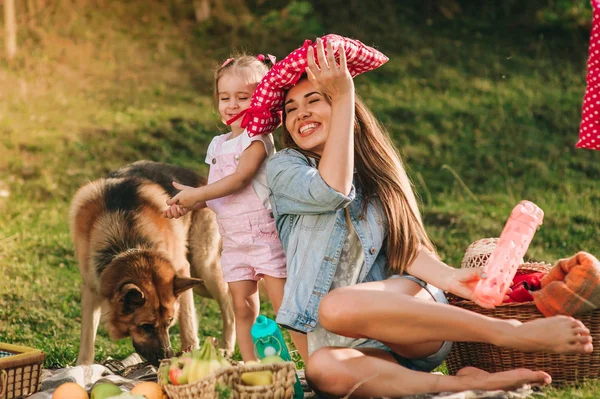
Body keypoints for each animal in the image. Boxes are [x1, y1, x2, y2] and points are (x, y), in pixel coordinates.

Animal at [70, 161, 234, 368]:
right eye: (145, 327)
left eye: (169, 322)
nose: (166, 357)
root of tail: (203, 179)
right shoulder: (92, 289)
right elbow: (87, 339)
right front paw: (83, 369)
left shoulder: (181, 269)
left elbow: (188, 326)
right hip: (200, 280)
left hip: (203, 266)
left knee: (230, 303)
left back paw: (227, 347)